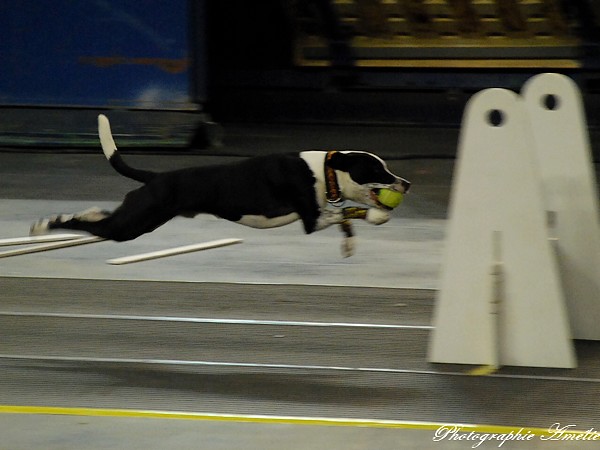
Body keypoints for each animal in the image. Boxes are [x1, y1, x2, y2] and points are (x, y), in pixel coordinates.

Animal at [30, 116, 410, 256]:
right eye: (377, 169)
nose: (406, 183)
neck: (325, 169)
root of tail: (155, 177)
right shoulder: (311, 219)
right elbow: (349, 211)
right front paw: (377, 217)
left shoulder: (320, 214)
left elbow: (347, 217)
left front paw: (350, 243)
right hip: (135, 223)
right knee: (87, 224)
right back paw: (43, 225)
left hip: (135, 216)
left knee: (96, 216)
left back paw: (77, 215)